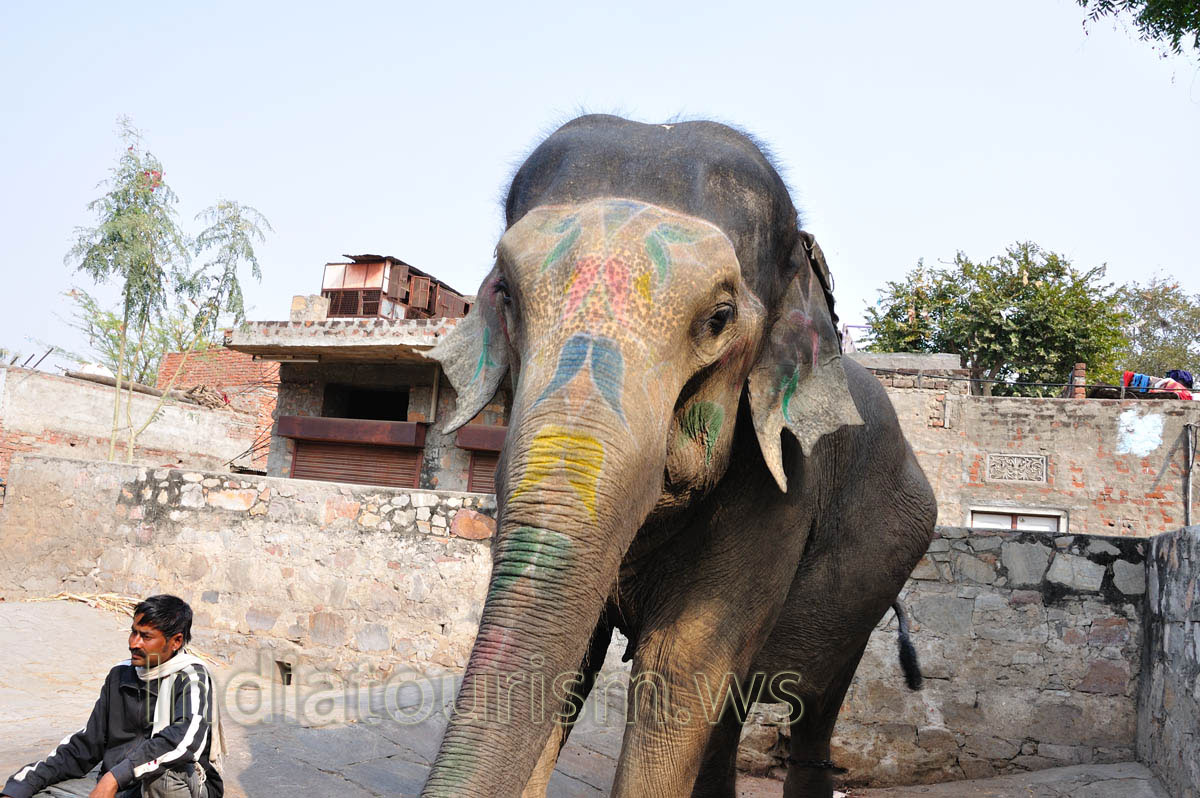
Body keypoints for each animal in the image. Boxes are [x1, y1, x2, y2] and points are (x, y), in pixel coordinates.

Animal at [421, 114, 937, 798]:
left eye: (719, 316)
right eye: (505, 293)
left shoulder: (781, 483)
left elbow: (680, 666)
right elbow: (571, 660)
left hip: (878, 577)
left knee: (811, 711)